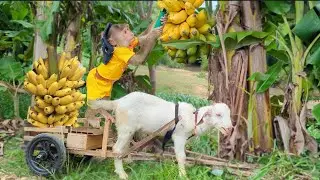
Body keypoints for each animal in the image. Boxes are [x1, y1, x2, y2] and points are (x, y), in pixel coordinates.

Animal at [88, 92, 232, 179]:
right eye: (218, 114)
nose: (230, 129)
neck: (193, 119)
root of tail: (118, 102)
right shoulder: (179, 137)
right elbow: (181, 157)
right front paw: (183, 175)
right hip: (125, 128)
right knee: (116, 149)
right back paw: (122, 174)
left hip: (128, 131)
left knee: (123, 149)